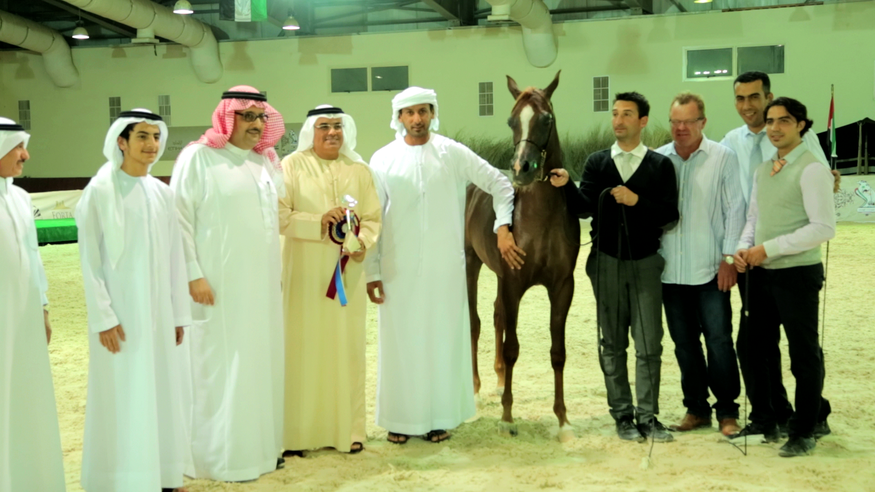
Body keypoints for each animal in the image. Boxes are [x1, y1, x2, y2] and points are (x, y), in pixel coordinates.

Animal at [464, 72, 580, 440]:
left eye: (547, 119)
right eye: (511, 120)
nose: (522, 168)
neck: (540, 217)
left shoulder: (562, 286)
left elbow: (558, 352)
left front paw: (563, 420)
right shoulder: (513, 283)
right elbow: (513, 347)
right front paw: (506, 417)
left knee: (497, 315)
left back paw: (500, 380)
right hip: (471, 264)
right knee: (475, 323)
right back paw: (475, 388)